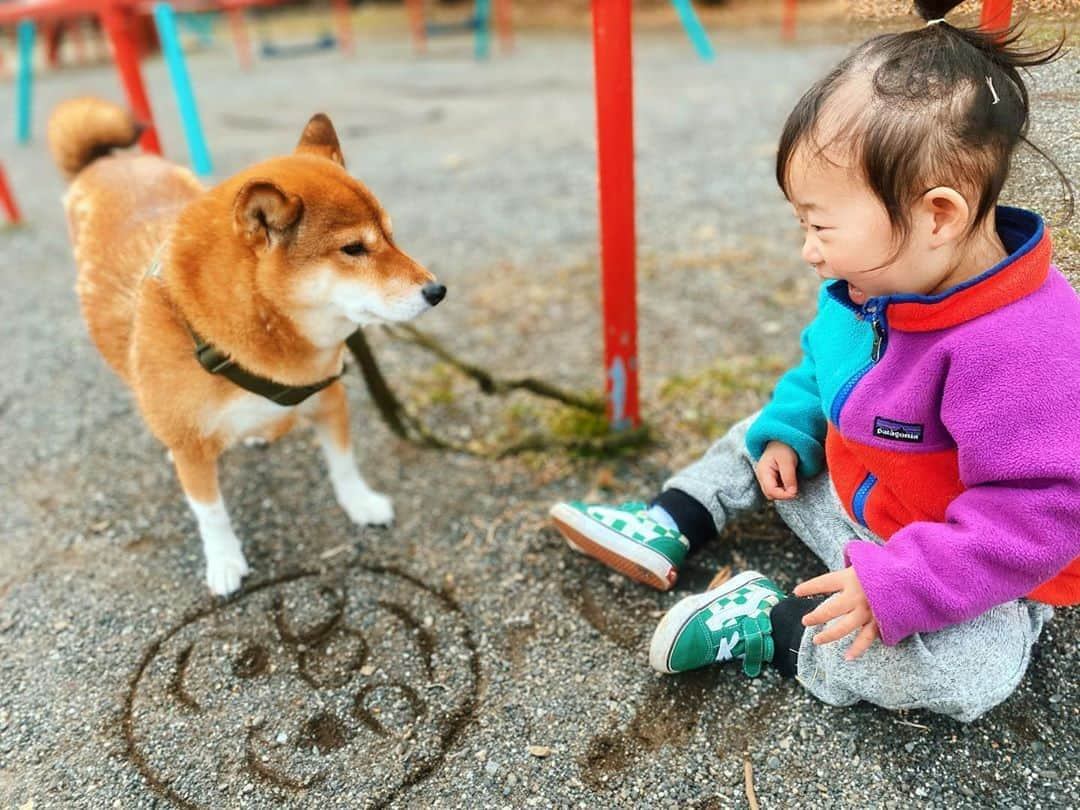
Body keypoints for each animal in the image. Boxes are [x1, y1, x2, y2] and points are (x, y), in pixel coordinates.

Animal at [48, 98, 444, 600]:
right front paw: (224, 562)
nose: (437, 290)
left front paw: (361, 503)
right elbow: (211, 512)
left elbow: (344, 464)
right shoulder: (194, 447)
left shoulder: (329, 398)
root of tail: (106, 161)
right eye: (354, 249)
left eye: (392, 236)